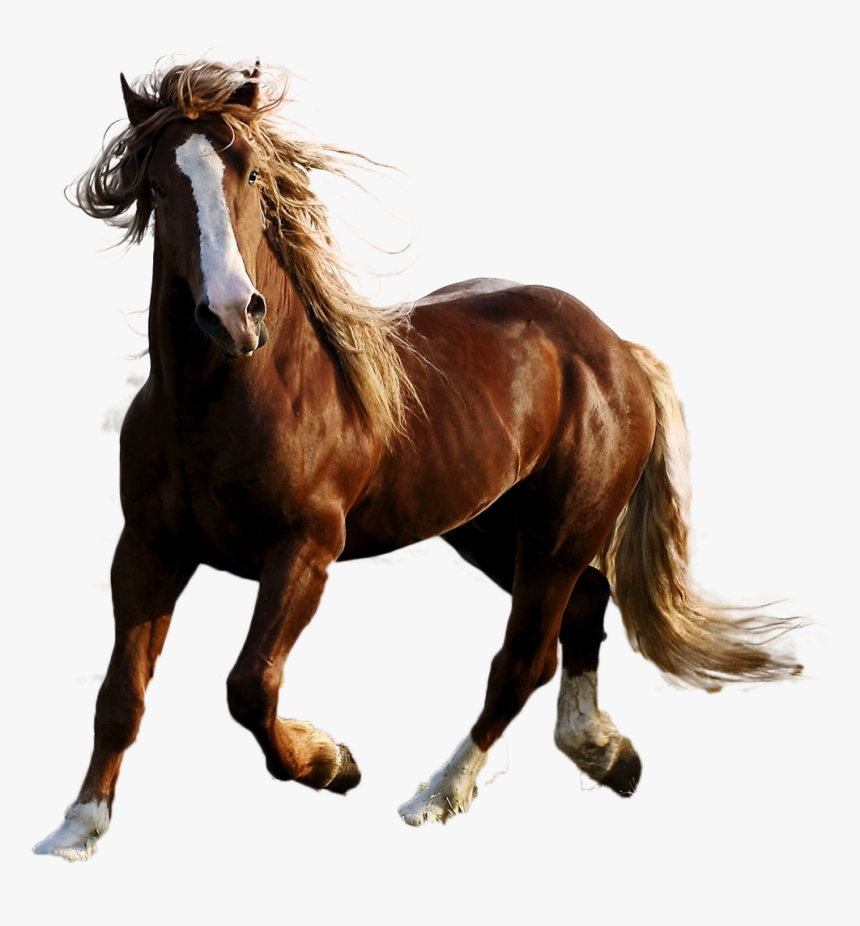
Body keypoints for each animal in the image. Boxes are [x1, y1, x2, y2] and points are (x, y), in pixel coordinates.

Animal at [34, 60, 801, 861]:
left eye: (250, 171)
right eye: (156, 186)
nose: (232, 315)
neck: (223, 401)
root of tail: (616, 349)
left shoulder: (305, 550)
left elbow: (250, 686)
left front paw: (331, 763)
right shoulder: (148, 549)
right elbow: (121, 694)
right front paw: (76, 827)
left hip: (559, 534)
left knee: (523, 660)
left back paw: (438, 794)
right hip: (489, 531)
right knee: (585, 606)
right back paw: (603, 753)